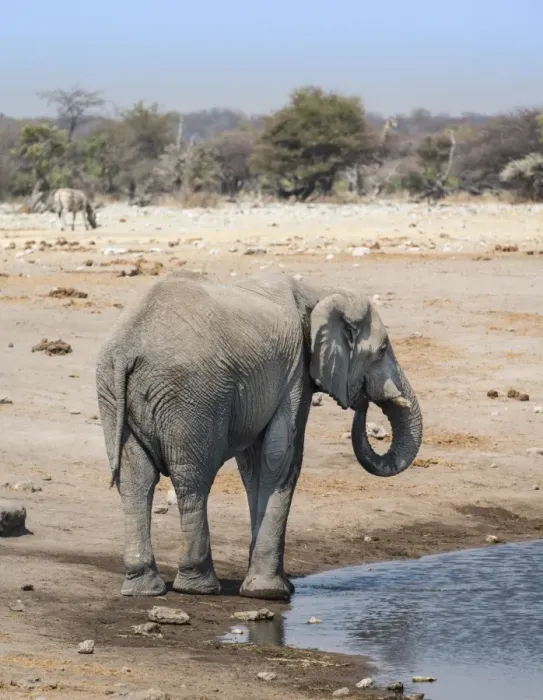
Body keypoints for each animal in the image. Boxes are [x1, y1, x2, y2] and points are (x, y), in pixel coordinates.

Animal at [96, 269, 423, 601]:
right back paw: (199, 587)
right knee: (192, 480)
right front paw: (271, 592)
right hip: (191, 397)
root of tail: (128, 346)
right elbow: (281, 456)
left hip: (111, 390)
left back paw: (143, 588)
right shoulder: (295, 375)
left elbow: (253, 465)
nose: (362, 402)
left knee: (136, 481)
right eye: (382, 350)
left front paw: (272, 587)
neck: (320, 292)